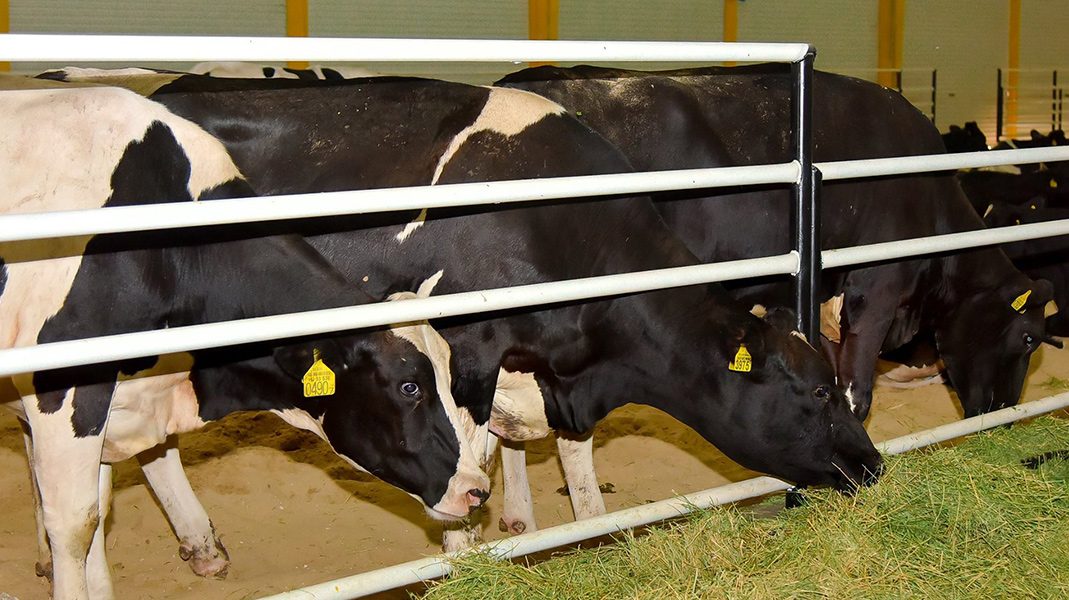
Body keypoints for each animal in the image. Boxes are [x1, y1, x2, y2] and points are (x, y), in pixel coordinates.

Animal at [41, 71, 884, 548]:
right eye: (814, 392)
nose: (873, 463)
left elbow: (559, 455)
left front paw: (569, 531)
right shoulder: (464, 343)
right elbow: (463, 446)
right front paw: (470, 546)